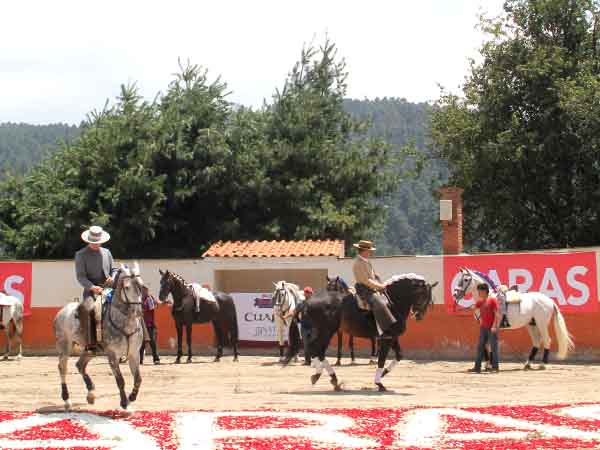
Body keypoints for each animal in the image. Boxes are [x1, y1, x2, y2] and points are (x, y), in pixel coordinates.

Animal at [52, 264, 144, 412]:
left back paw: (91, 394)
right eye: (127, 287)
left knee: (80, 365)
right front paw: (124, 403)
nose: (138, 312)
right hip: (64, 345)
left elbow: (138, 379)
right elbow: (120, 380)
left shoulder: (133, 354)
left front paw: (131, 399)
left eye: (141, 286)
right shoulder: (112, 355)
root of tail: (62, 311)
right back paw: (67, 400)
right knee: (62, 368)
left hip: (90, 351)